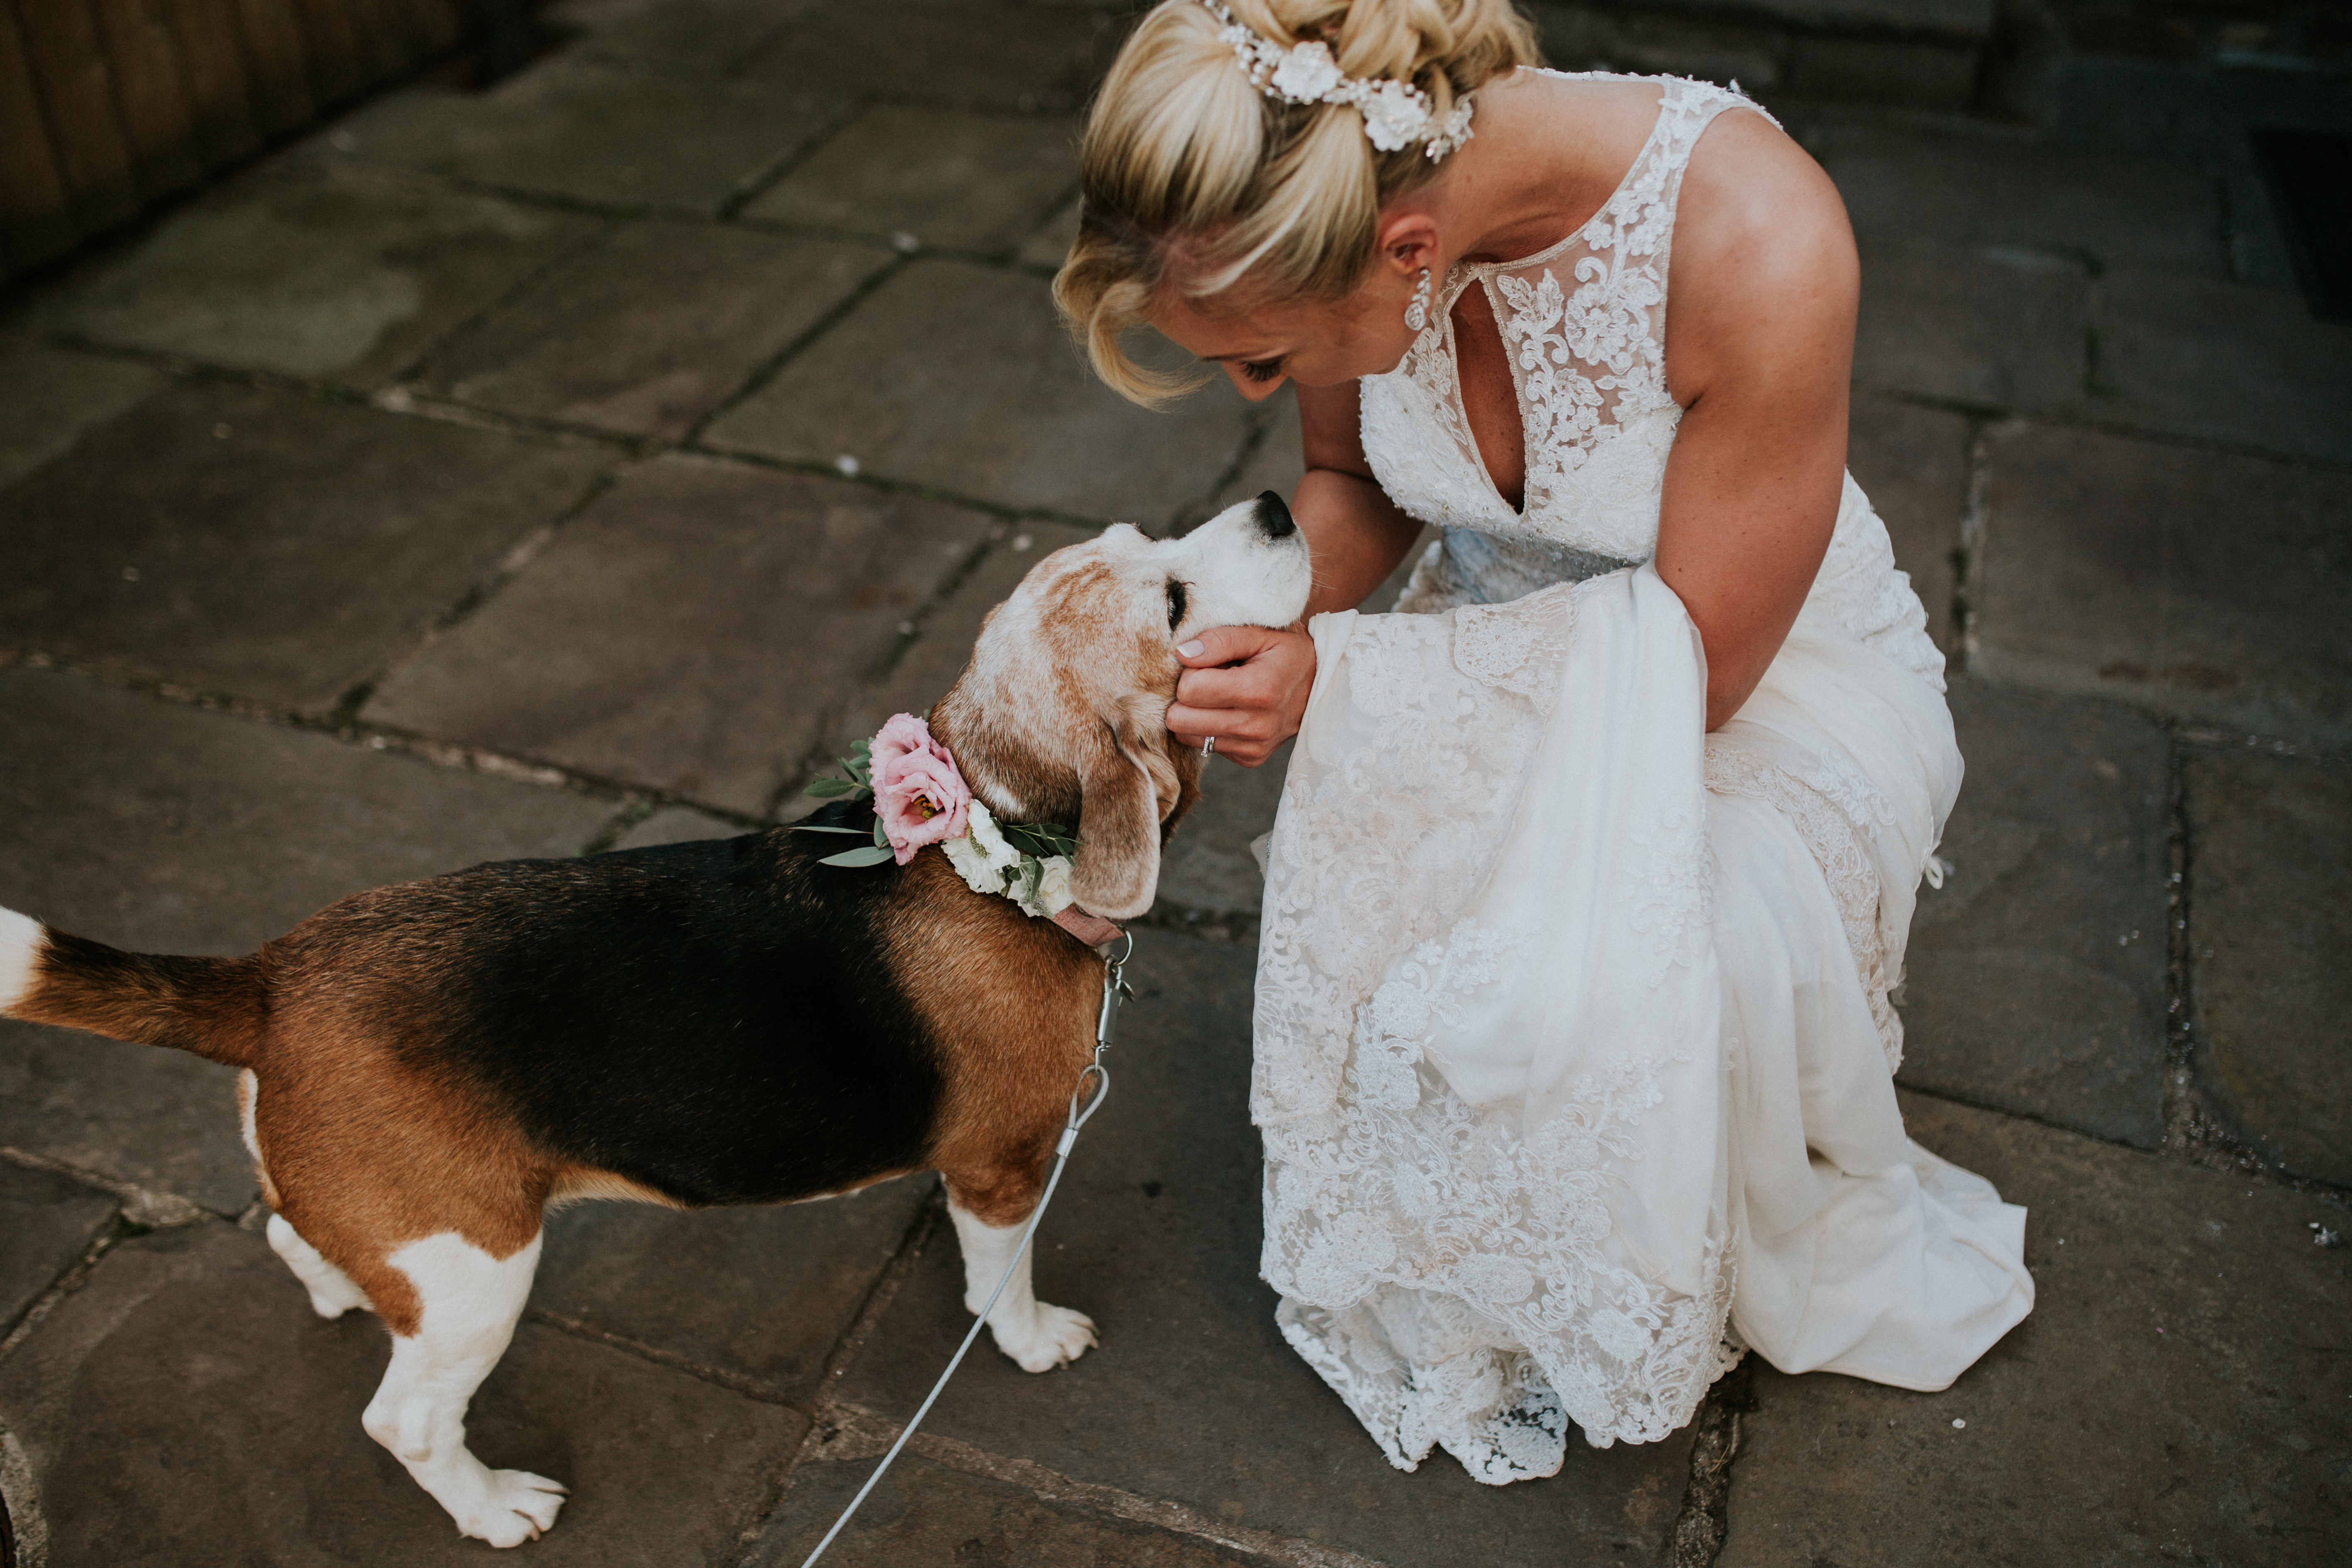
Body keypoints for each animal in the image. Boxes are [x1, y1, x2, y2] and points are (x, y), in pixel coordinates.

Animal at [0, 496, 1317, 1551]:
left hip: (395, 1235)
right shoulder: (1003, 1165)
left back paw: (340, 1297)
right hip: (479, 1270)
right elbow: (1004, 1272)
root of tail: (272, 977)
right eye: (1171, 601)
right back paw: (492, 1506)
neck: (980, 841)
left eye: (1149, 541)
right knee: (405, 1417)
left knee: (294, 1239)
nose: (1276, 503)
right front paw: (1033, 1337)